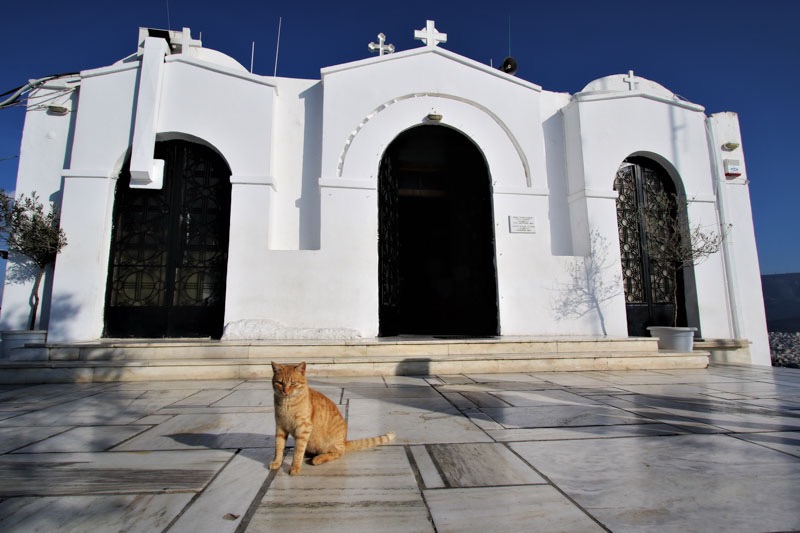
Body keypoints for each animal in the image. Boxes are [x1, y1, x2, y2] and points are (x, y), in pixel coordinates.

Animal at [268, 362, 396, 474]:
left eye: (293, 383)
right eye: (280, 383)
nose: (285, 391)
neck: (287, 404)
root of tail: (344, 441)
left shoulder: (303, 429)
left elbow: (298, 451)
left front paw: (295, 467)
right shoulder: (280, 427)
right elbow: (278, 447)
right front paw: (277, 462)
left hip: (332, 445)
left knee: (338, 453)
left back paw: (318, 458)